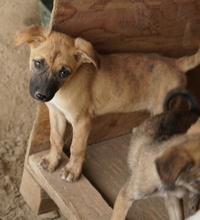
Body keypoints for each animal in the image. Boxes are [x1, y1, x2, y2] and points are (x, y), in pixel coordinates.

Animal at [14, 24, 200, 182]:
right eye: (38, 63)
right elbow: (55, 139)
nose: (41, 96)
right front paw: (52, 161)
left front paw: (72, 170)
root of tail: (176, 63)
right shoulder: (56, 112)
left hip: (164, 107)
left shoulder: (82, 121)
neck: (64, 88)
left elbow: (76, 148)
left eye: (63, 72)